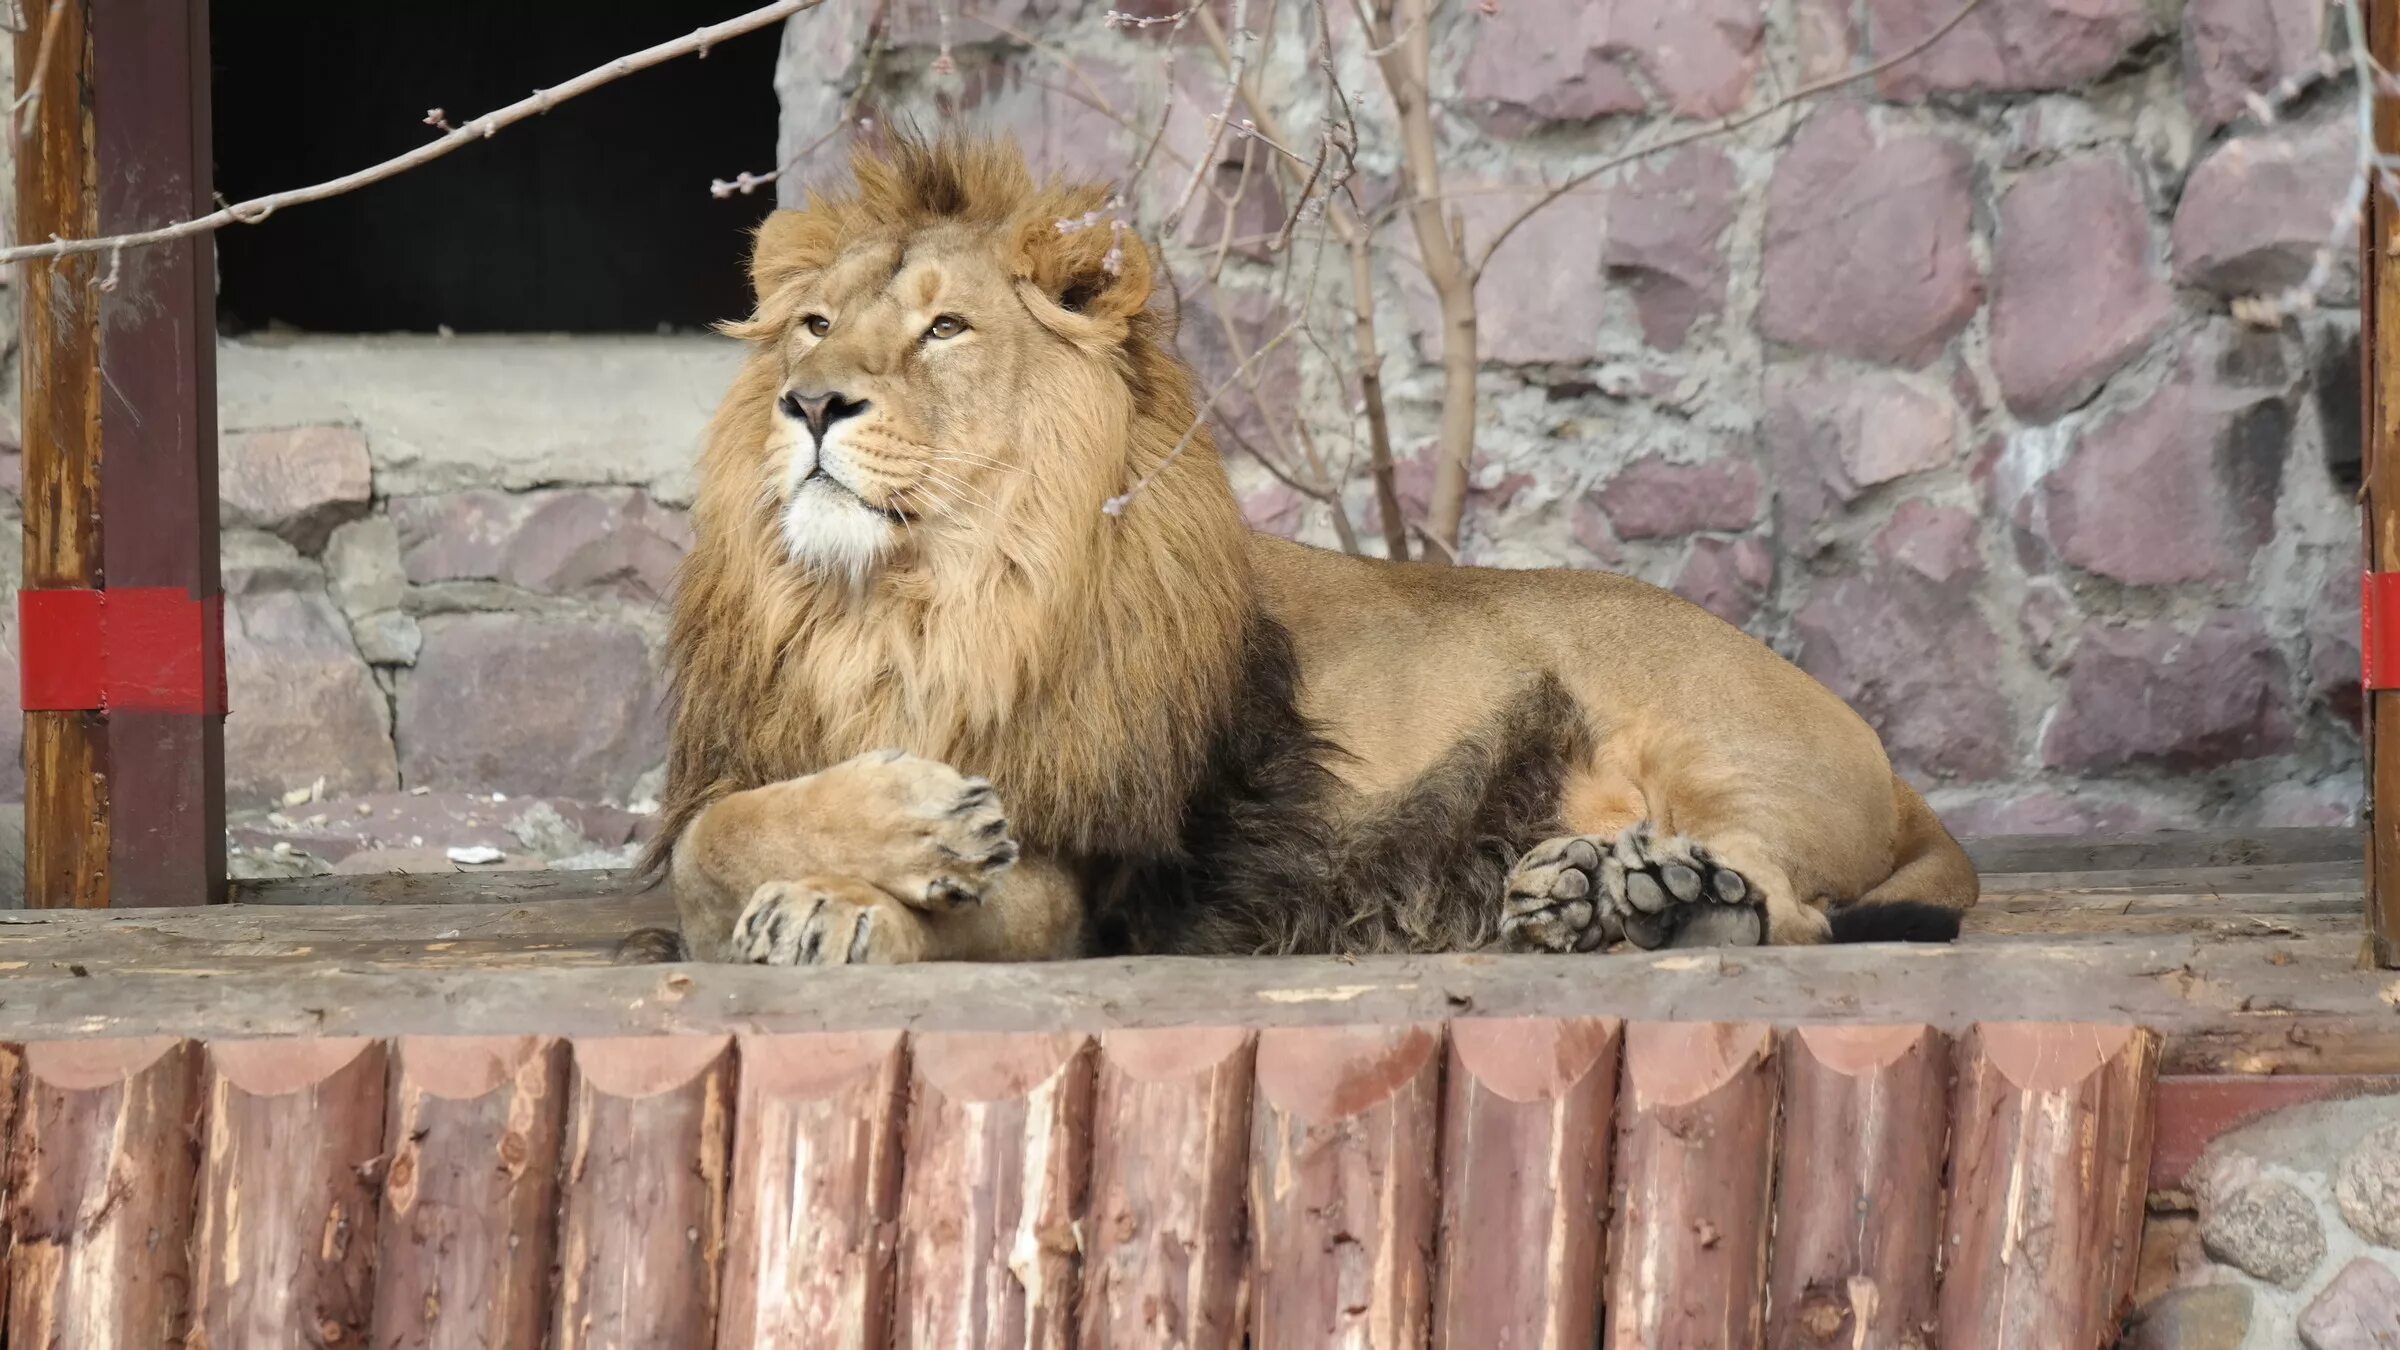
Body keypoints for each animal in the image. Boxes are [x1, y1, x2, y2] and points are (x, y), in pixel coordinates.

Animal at [648, 131, 1977, 960]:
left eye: (946, 329)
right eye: (814, 324)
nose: (811, 404)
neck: (898, 604)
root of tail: (1887, 761)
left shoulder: (1074, 867)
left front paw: (856, 893)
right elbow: (716, 838)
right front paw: (847, 865)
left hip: (1710, 738)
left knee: (1785, 901)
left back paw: (1668, 897)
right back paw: (1605, 893)